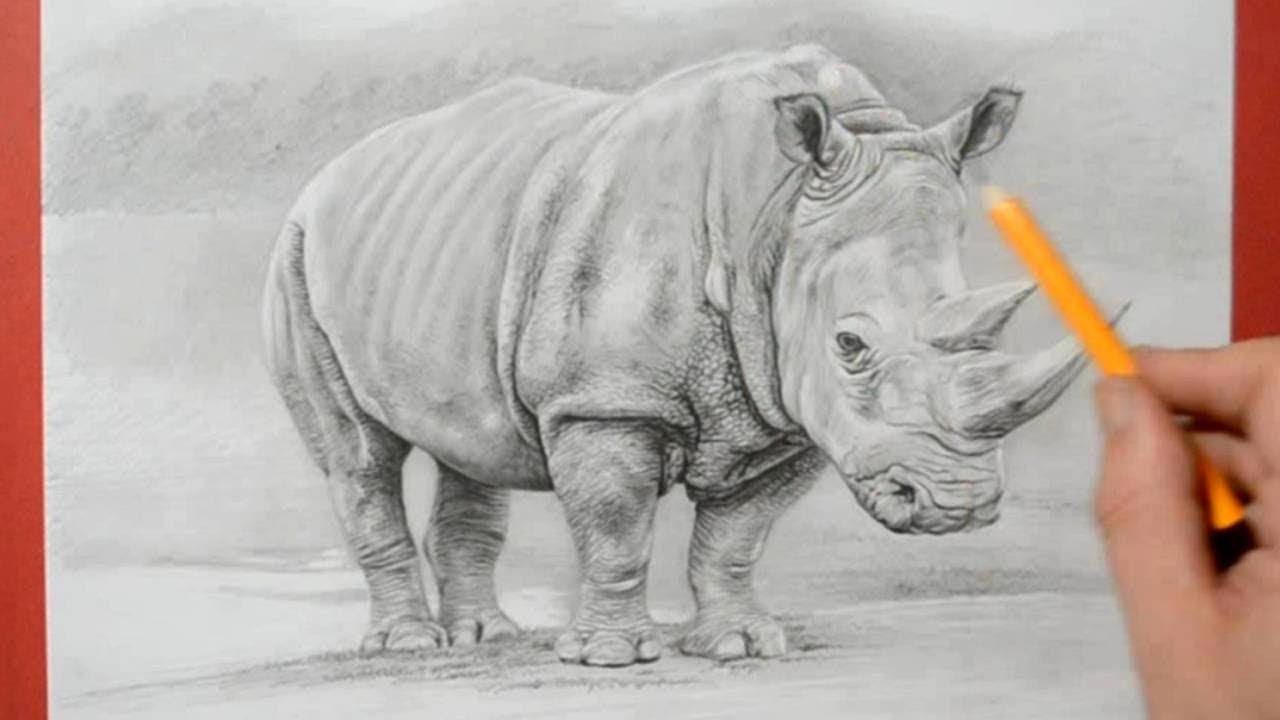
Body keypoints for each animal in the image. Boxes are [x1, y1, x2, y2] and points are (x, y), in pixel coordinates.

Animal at [261, 44, 1085, 667]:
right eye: (850, 346)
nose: (959, 506)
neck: (776, 215)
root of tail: (331, 172)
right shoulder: (605, 397)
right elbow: (616, 524)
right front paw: (610, 658)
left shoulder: (788, 406)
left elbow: (737, 537)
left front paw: (741, 645)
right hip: (299, 256)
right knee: (359, 457)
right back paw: (408, 646)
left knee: (473, 443)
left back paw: (486, 638)